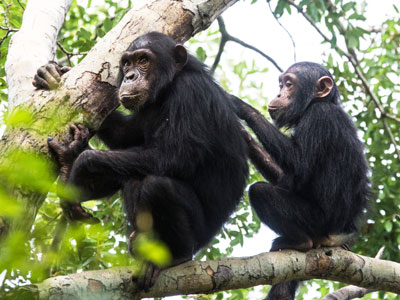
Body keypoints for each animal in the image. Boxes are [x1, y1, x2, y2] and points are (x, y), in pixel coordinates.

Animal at [34, 31, 248, 290]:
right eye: (127, 63)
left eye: (144, 60)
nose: (129, 76)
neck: (167, 89)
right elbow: (125, 135)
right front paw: (52, 74)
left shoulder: (190, 92)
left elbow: (172, 157)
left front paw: (82, 163)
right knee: (128, 175)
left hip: (198, 237)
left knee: (157, 186)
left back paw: (175, 257)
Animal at [230, 61, 370, 300]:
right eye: (281, 84)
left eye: (289, 84)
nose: (279, 93)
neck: (316, 103)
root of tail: (339, 234)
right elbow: (289, 179)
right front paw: (243, 134)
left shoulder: (319, 117)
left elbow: (299, 163)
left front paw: (241, 107)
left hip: (316, 221)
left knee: (260, 192)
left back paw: (298, 241)